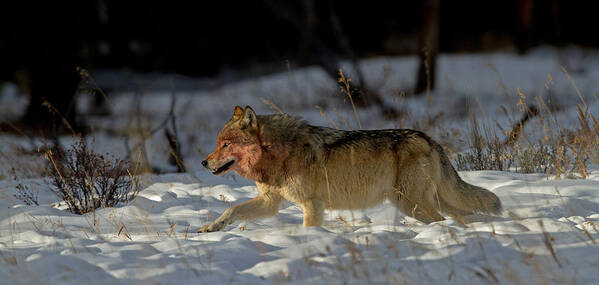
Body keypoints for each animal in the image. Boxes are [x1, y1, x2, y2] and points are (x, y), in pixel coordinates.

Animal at [199, 105, 504, 231]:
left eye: (225, 144)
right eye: (217, 143)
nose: (203, 162)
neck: (278, 153)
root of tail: (428, 138)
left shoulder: (312, 205)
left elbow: (309, 228)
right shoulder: (270, 202)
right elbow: (231, 210)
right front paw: (210, 228)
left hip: (412, 204)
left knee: (444, 220)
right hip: (433, 201)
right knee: (464, 216)